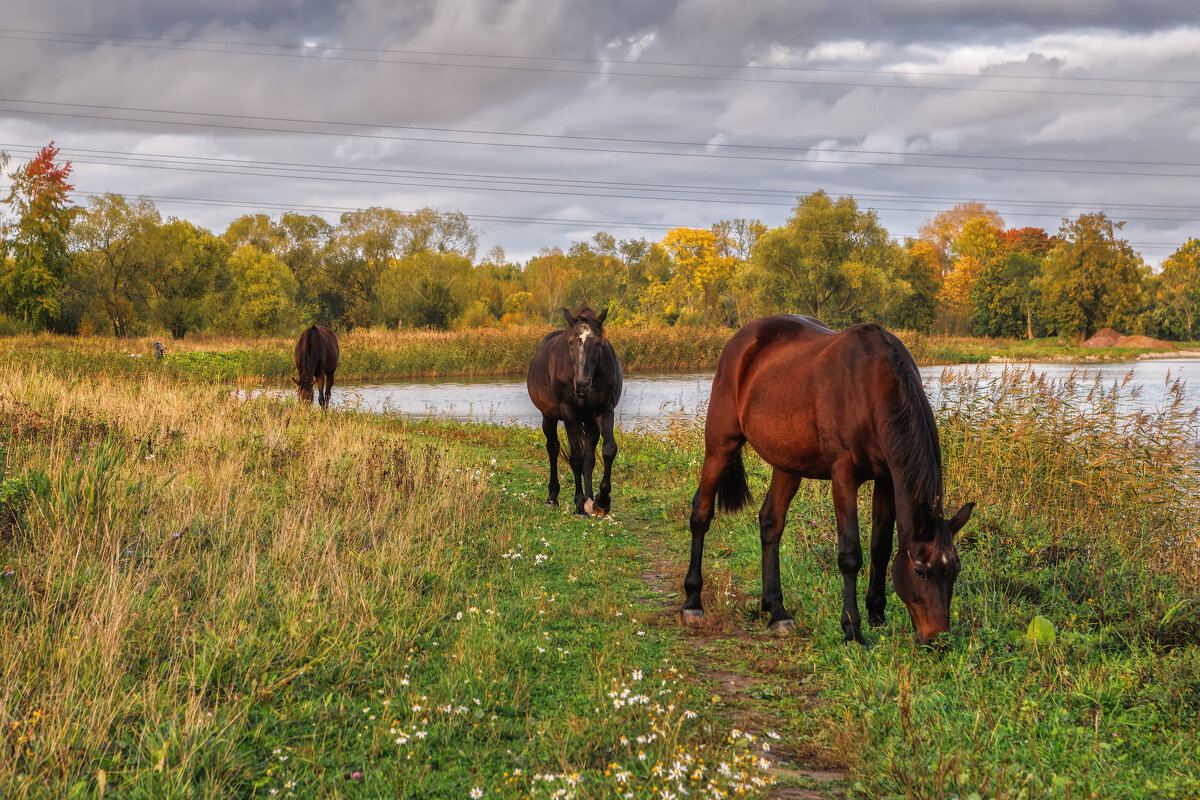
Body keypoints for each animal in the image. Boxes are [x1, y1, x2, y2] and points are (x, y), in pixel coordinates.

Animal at [528, 303, 624, 515]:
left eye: (597, 343)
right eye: (571, 342)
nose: (581, 384)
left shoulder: (604, 411)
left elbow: (608, 450)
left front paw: (601, 501)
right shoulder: (569, 414)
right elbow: (576, 458)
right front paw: (579, 503)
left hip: (589, 421)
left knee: (589, 456)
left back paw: (590, 500)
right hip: (548, 417)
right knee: (553, 449)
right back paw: (553, 497)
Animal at [681, 316, 969, 647]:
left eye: (954, 571)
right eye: (921, 571)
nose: (938, 638)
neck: (873, 387)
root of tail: (741, 339)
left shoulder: (886, 478)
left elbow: (881, 548)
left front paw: (877, 614)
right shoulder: (844, 475)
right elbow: (850, 554)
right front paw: (852, 629)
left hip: (787, 463)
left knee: (771, 523)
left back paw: (777, 611)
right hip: (720, 444)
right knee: (701, 514)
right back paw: (692, 602)